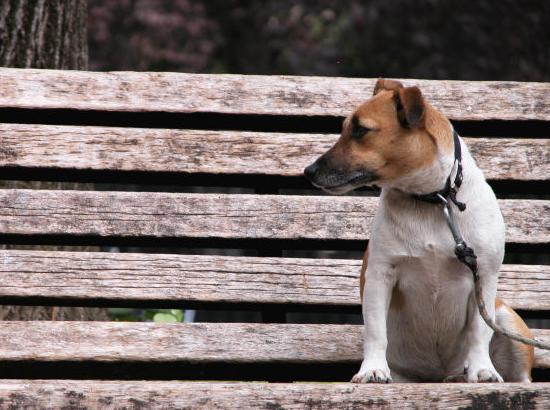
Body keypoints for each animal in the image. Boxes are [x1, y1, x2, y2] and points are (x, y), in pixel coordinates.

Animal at [304, 80, 536, 384]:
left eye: (361, 130)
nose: (308, 171)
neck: (433, 200)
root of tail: (438, 375)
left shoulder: (484, 275)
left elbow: (478, 331)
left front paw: (481, 369)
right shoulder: (380, 274)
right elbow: (375, 330)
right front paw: (372, 369)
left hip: (508, 320)